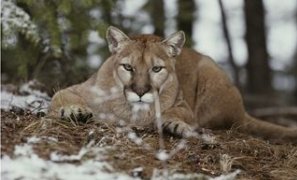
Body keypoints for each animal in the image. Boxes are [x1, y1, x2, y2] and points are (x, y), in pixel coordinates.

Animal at [48, 26, 296, 143]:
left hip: (209, 70)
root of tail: (242, 109)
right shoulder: (79, 88)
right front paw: (75, 110)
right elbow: (61, 95)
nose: (140, 92)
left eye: (156, 69)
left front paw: (174, 124)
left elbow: (176, 113)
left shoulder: (184, 105)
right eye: (128, 67)